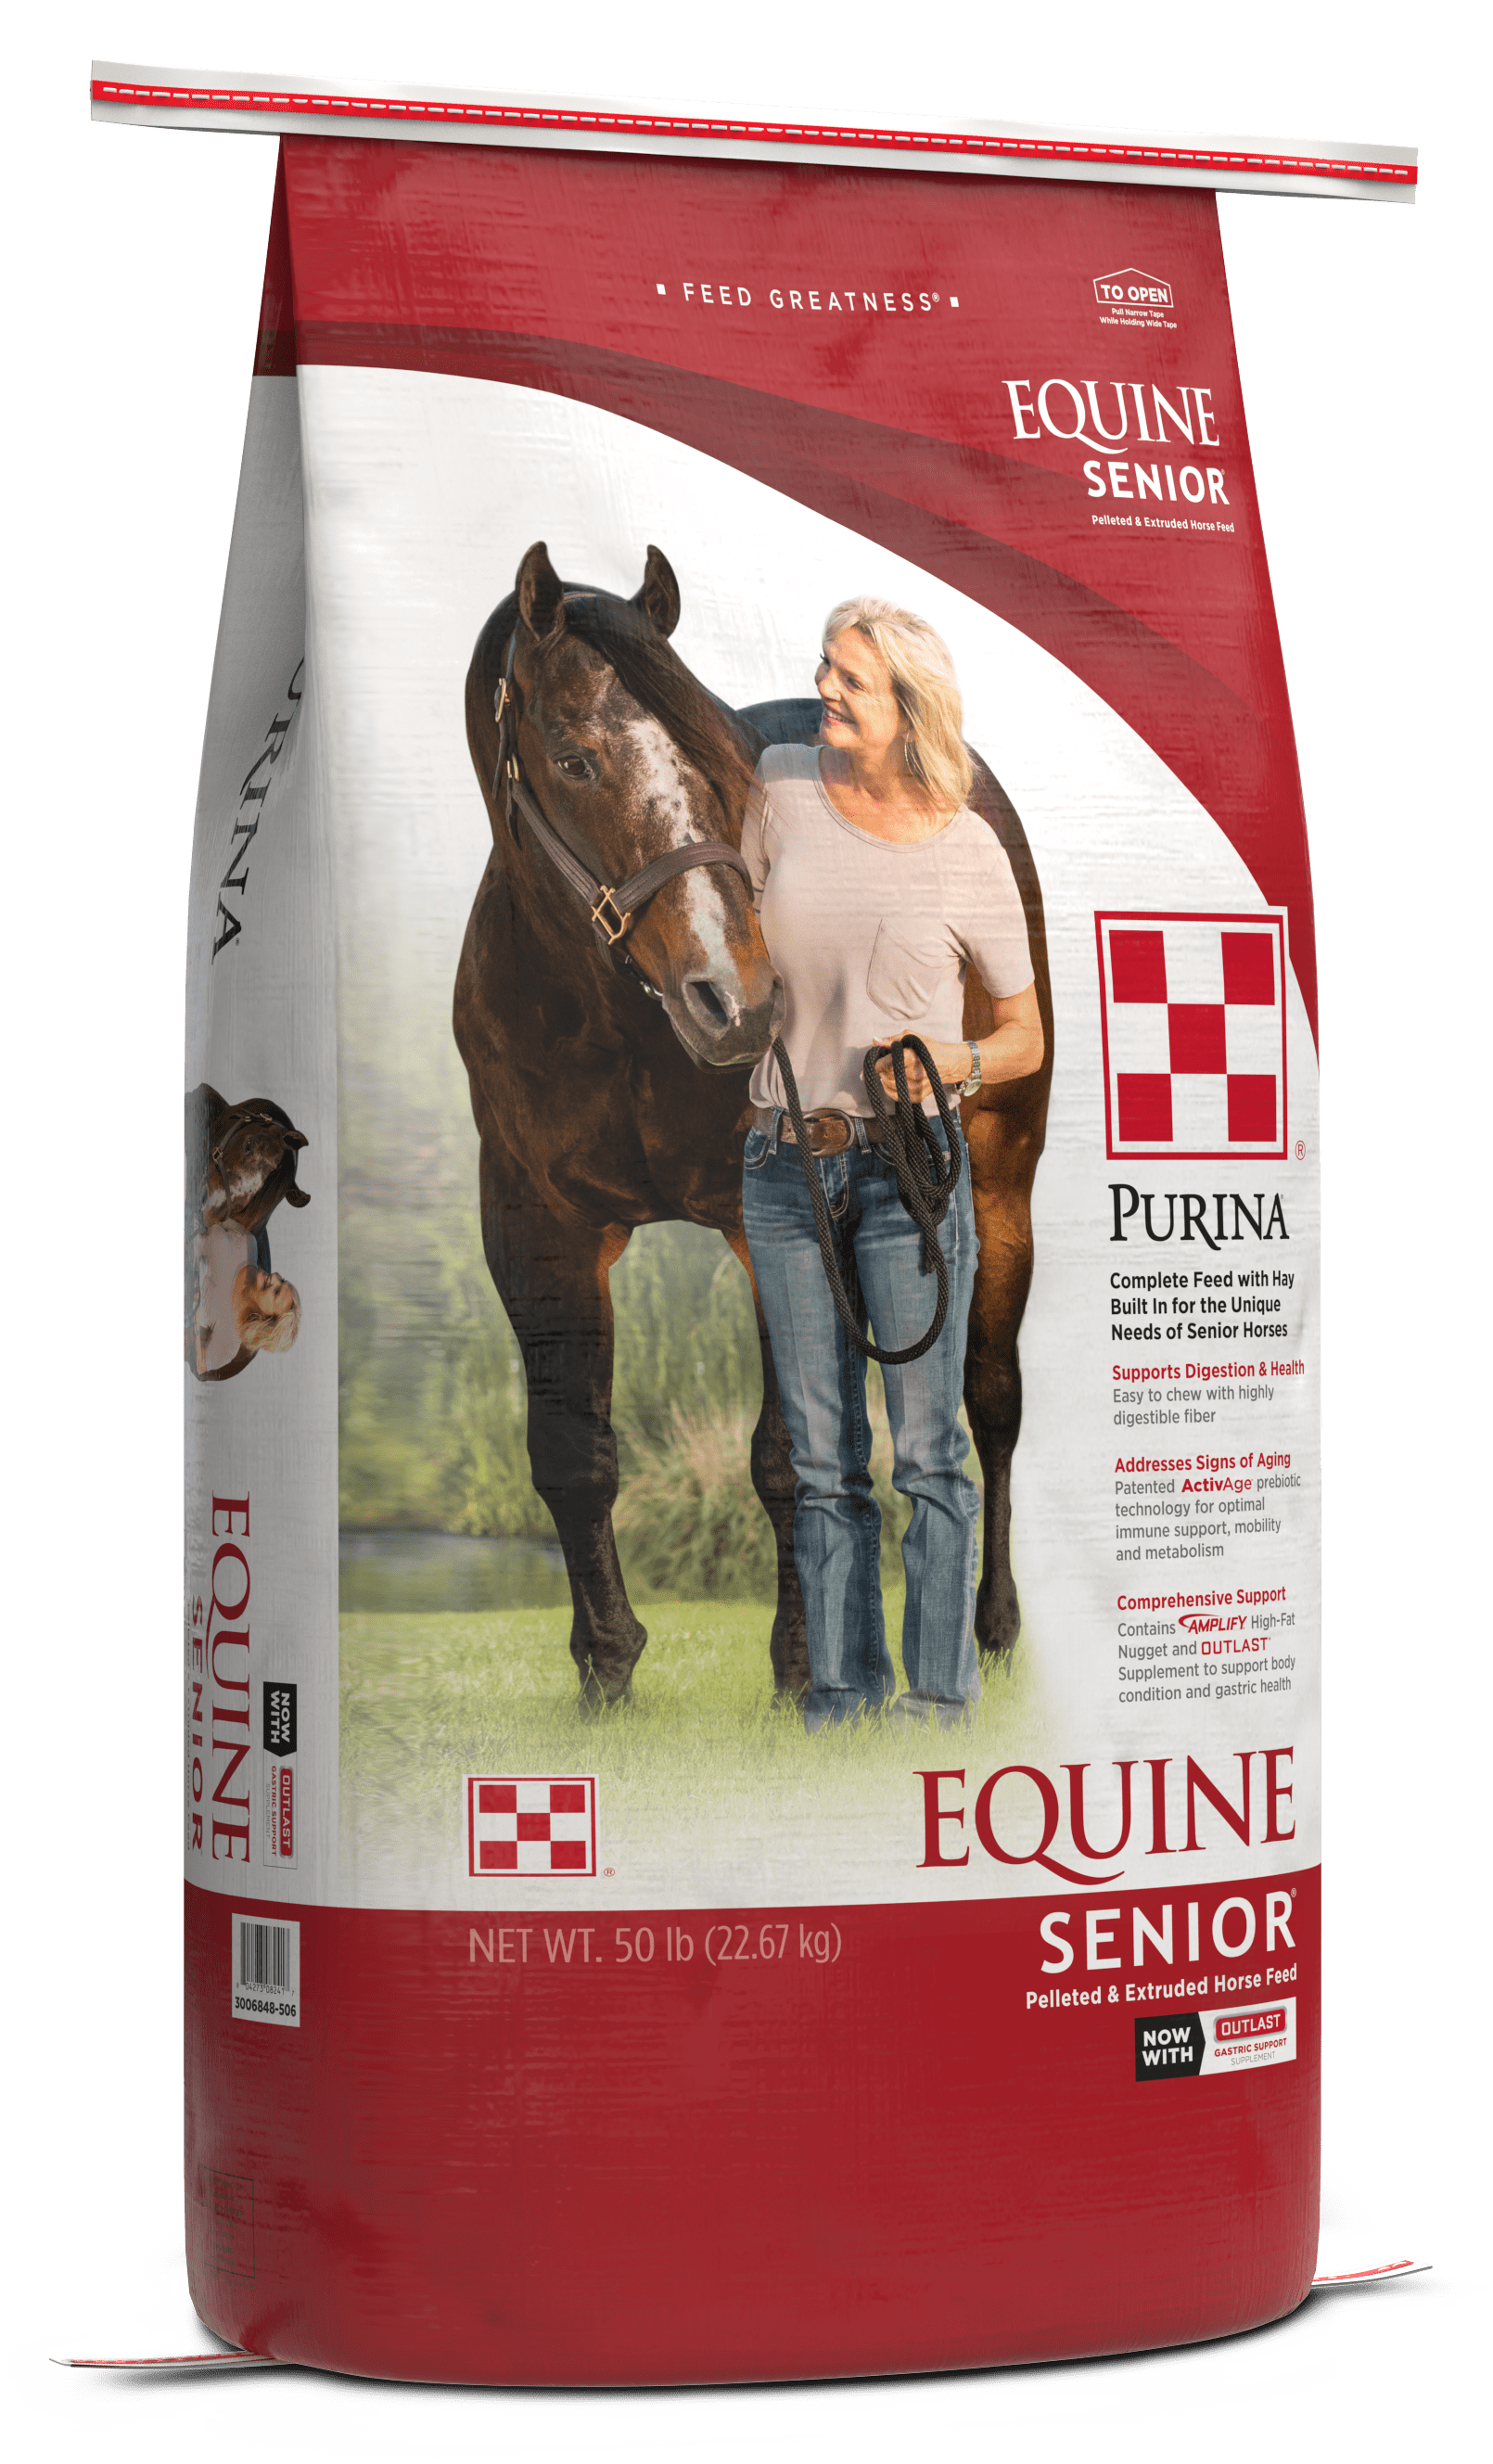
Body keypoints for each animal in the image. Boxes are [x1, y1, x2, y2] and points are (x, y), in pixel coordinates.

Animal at [455, 541, 1054, 1707]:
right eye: (571, 756)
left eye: (712, 768)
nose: (734, 1003)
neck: (608, 1019)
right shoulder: (533, 1222)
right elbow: (570, 1450)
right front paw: (606, 1667)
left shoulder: (762, 1218)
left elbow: (787, 1451)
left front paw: (800, 1666)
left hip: (999, 1189)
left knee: (990, 1399)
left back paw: (991, 1627)